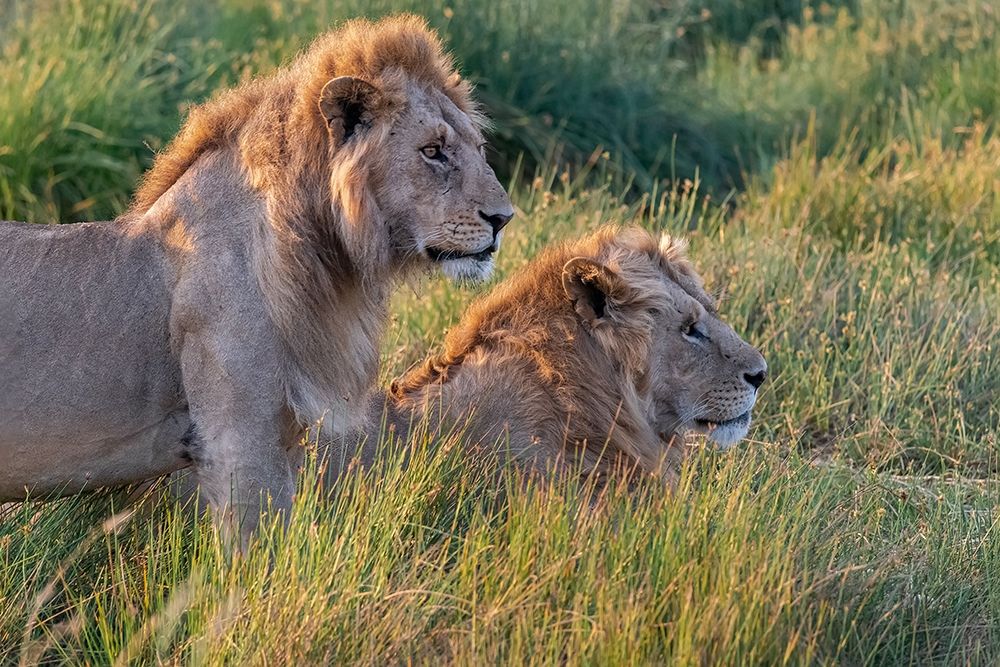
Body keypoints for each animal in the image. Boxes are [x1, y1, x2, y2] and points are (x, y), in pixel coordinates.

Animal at [0, 15, 516, 548]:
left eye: (480, 149)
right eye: (433, 152)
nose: (504, 218)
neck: (325, 258)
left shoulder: (282, 434)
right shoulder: (237, 438)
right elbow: (256, 553)